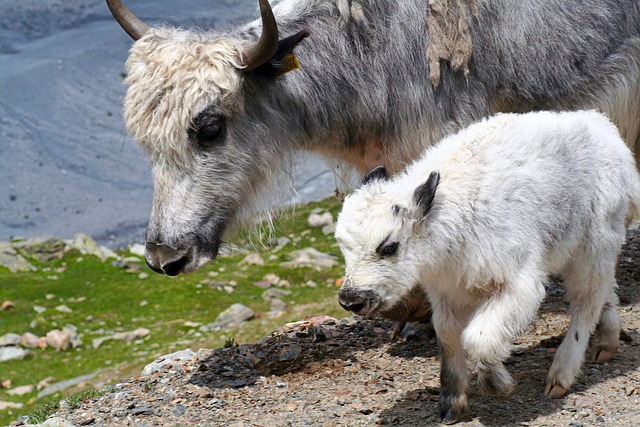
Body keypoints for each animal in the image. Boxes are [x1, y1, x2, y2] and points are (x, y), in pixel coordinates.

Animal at [336, 110, 640, 424]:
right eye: (343, 246)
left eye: (389, 247)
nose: (351, 300)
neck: (451, 215)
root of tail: (605, 129)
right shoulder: (447, 293)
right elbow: (448, 337)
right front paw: (451, 404)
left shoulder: (518, 284)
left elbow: (479, 338)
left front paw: (500, 385)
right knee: (604, 291)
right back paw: (606, 344)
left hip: (594, 246)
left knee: (586, 303)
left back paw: (560, 376)